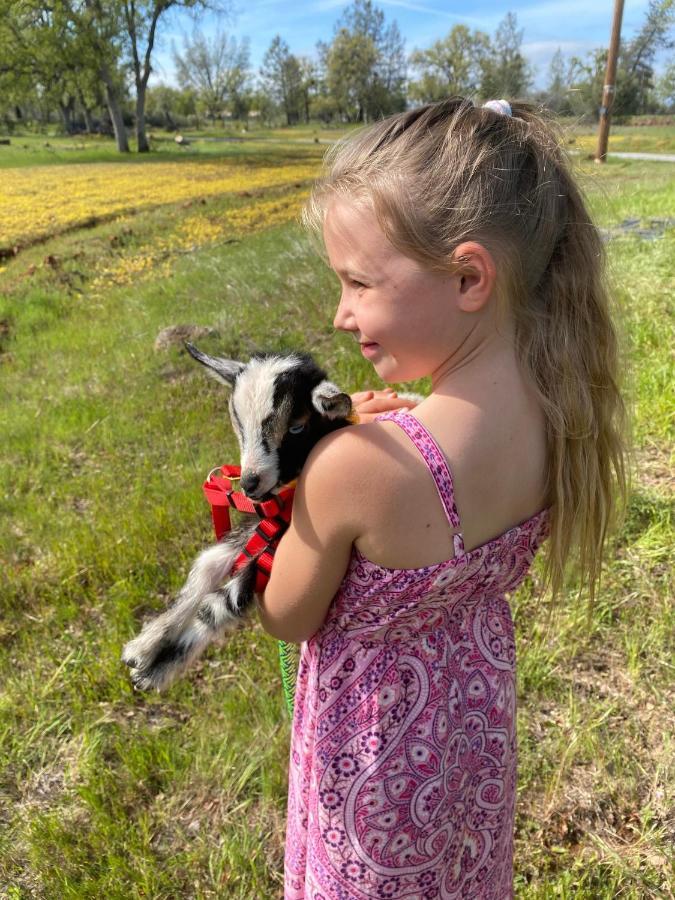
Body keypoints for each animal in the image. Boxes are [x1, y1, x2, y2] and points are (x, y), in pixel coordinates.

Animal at [121, 342, 354, 688]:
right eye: (239, 426)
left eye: (297, 426)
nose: (250, 483)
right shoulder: (262, 523)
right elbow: (207, 565)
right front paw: (147, 643)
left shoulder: (279, 551)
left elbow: (221, 602)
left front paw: (154, 670)